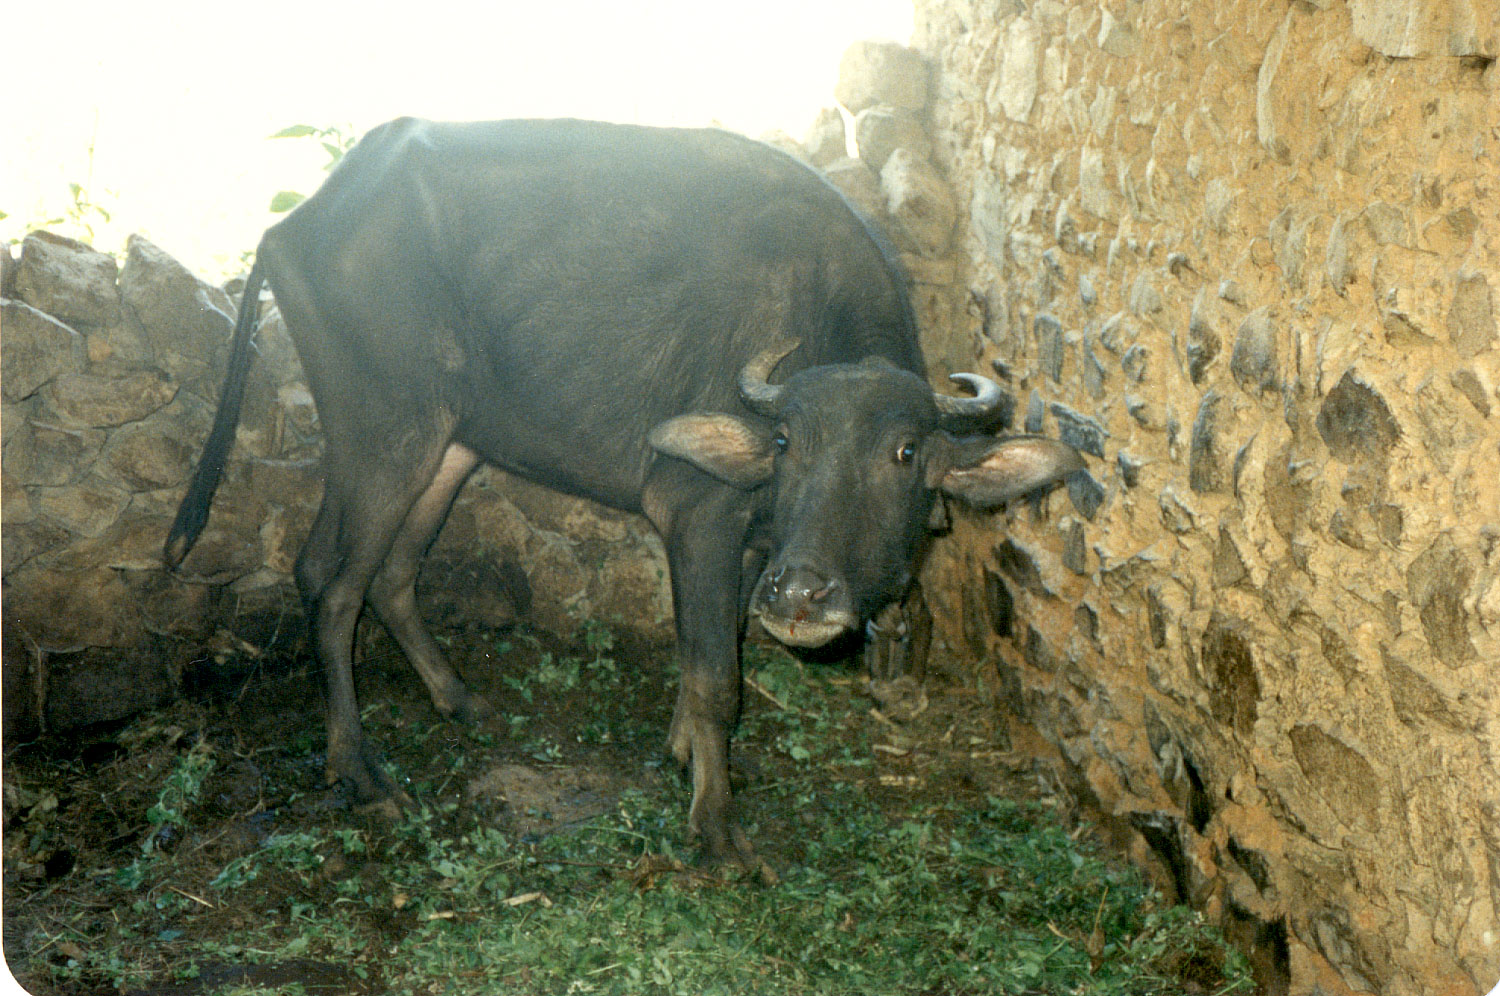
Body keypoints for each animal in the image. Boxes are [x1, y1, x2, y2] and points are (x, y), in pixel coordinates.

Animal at [164, 118, 1080, 870]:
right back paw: (360, 772)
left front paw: (682, 753)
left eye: (904, 451)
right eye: (788, 444)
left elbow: (707, 646)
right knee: (329, 579)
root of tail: (296, 222)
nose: (801, 596)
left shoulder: (747, 545)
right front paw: (715, 827)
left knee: (392, 574)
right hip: (384, 429)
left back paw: (459, 699)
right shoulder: (701, 514)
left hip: (454, 441)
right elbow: (717, 676)